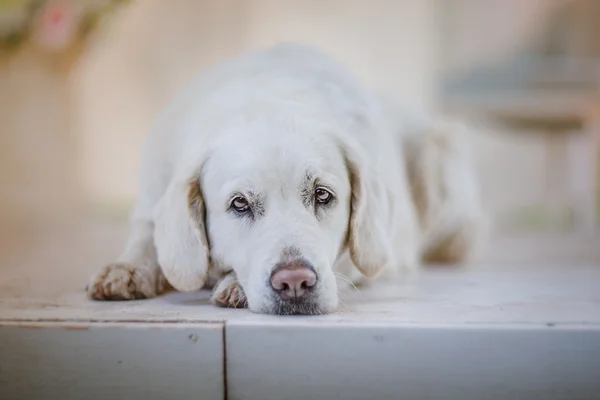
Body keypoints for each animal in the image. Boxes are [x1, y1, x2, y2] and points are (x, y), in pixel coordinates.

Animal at [86, 43, 486, 316]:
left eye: (323, 195)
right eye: (240, 203)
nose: (294, 282)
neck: (266, 99)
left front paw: (234, 284)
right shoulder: (153, 195)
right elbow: (145, 237)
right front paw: (126, 269)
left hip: (440, 154)